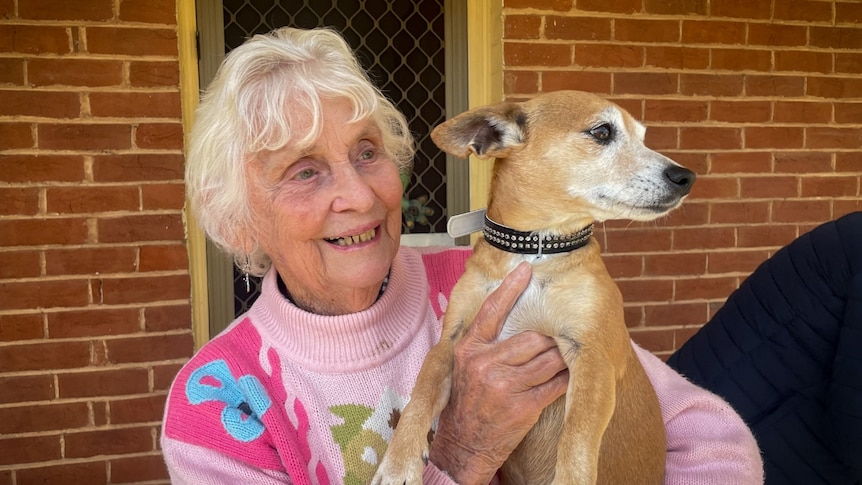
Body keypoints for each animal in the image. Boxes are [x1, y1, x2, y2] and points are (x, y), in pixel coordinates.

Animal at [372, 91, 696, 484]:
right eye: (602, 132)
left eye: (644, 138)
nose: (686, 177)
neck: (533, 249)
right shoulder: (451, 341)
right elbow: (421, 392)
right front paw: (398, 464)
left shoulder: (593, 358)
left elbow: (577, 440)